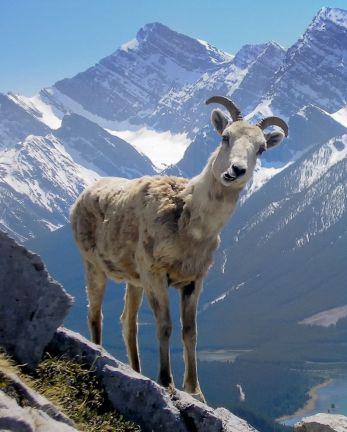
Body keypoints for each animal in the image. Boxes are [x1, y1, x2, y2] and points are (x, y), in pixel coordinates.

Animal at [70, 96, 288, 400]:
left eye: (261, 148)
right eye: (225, 137)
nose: (235, 171)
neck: (189, 223)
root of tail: (81, 197)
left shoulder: (193, 282)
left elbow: (190, 332)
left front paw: (196, 391)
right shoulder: (156, 275)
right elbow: (165, 326)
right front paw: (166, 382)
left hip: (134, 282)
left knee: (128, 322)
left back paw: (136, 371)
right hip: (94, 267)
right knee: (95, 314)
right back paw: (100, 352)